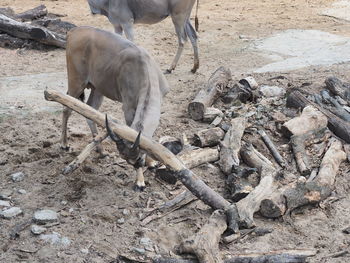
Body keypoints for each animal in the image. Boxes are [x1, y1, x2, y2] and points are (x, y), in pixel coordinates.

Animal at [61, 26, 170, 191]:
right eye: (131, 160)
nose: (138, 164)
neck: (144, 69)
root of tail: (73, 31)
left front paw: (152, 162)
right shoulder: (128, 108)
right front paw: (140, 182)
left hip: (97, 87)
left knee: (90, 110)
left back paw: (101, 151)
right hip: (76, 83)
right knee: (67, 108)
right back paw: (64, 144)